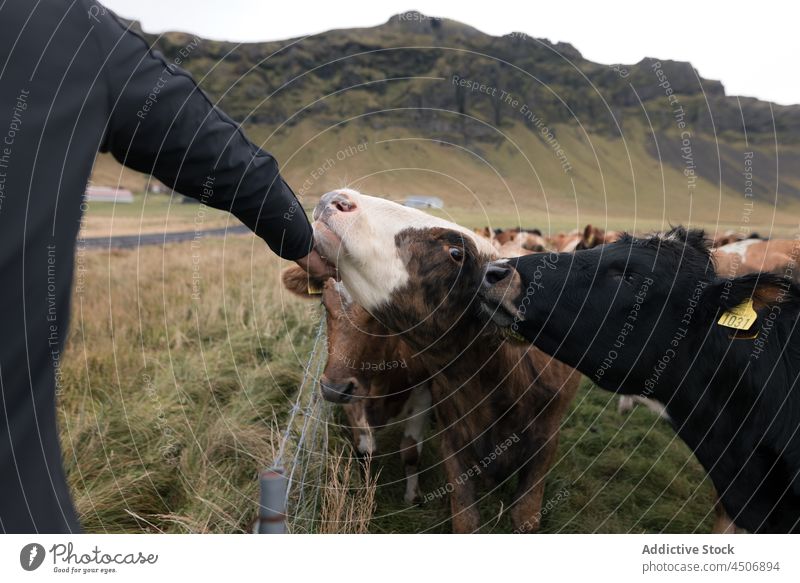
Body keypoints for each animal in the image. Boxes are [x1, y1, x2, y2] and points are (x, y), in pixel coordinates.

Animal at [282, 268, 432, 502]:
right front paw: (366, 494)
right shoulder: (351, 399)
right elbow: (364, 452)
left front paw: (412, 497)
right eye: (324, 303)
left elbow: (410, 452)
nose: (333, 389)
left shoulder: (423, 395)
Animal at [310, 188, 580, 532]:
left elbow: (525, 516)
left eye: (455, 253)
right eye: (324, 304)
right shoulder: (451, 441)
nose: (339, 199)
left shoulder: (545, 445)